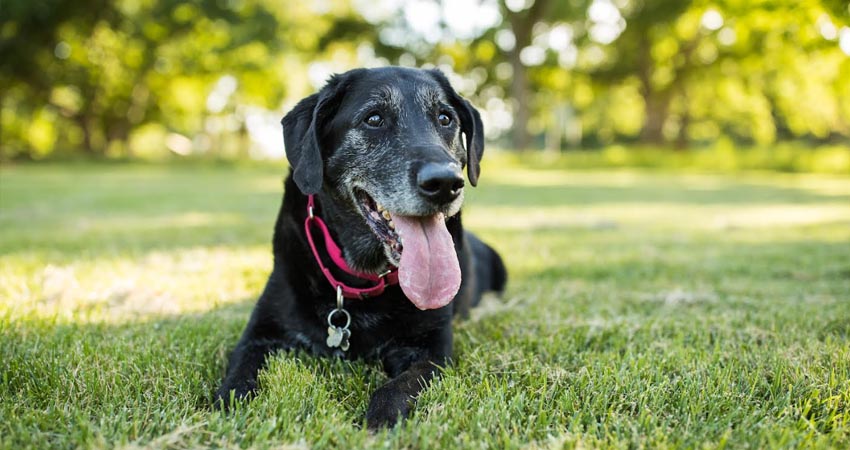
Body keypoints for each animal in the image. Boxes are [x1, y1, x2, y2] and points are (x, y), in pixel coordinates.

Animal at [217, 67, 504, 428]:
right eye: (374, 118)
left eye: (445, 118)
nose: (445, 183)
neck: (361, 278)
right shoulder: (259, 334)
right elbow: (238, 378)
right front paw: (230, 406)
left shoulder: (434, 351)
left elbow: (396, 388)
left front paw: (379, 421)